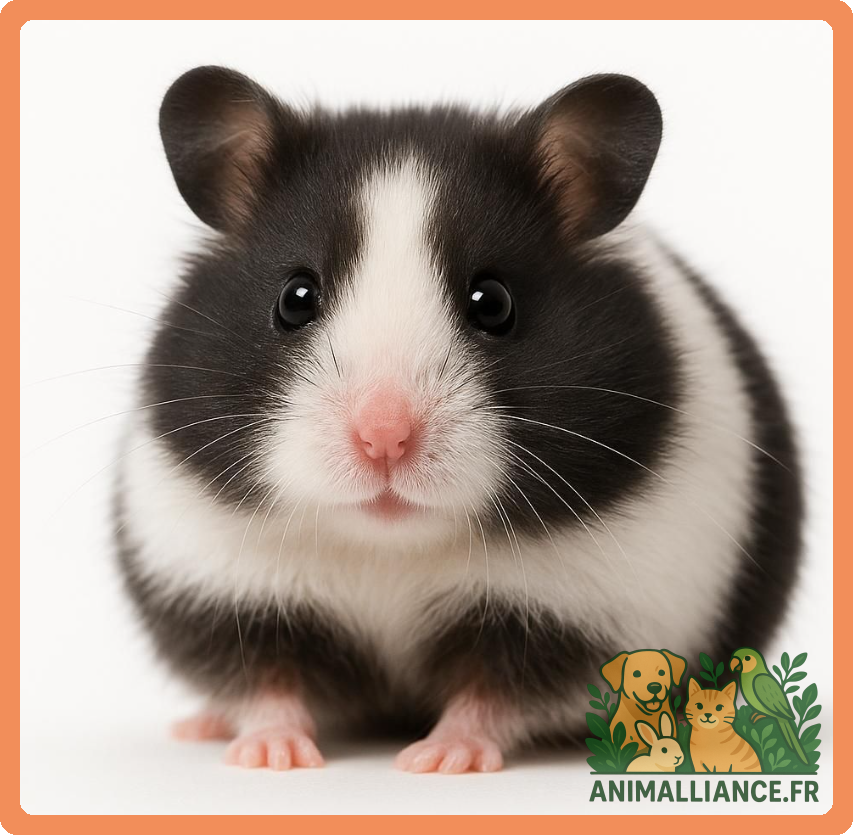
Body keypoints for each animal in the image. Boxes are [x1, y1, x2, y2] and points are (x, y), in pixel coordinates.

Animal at [115, 66, 802, 773]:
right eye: (295, 298)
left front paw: (439, 761)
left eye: (492, 302)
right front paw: (272, 757)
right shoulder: (223, 590)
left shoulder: (571, 615)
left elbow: (494, 694)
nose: (383, 440)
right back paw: (200, 727)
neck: (389, 548)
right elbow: (267, 681)